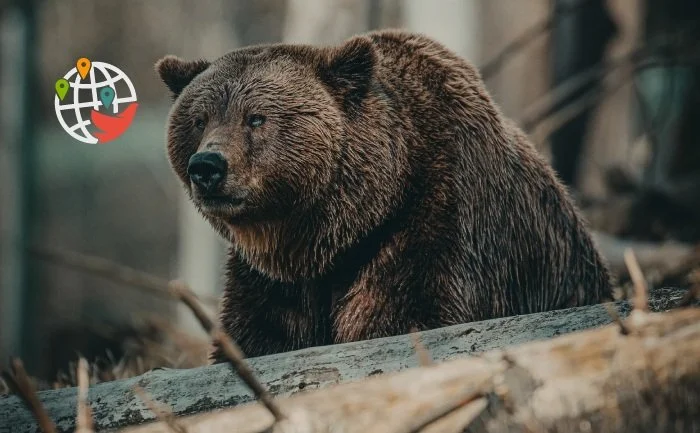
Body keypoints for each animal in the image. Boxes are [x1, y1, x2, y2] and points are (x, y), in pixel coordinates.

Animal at [156, 30, 608, 360]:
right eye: (198, 119)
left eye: (256, 118)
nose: (207, 166)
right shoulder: (273, 280)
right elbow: (258, 334)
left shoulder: (439, 221)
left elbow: (407, 314)